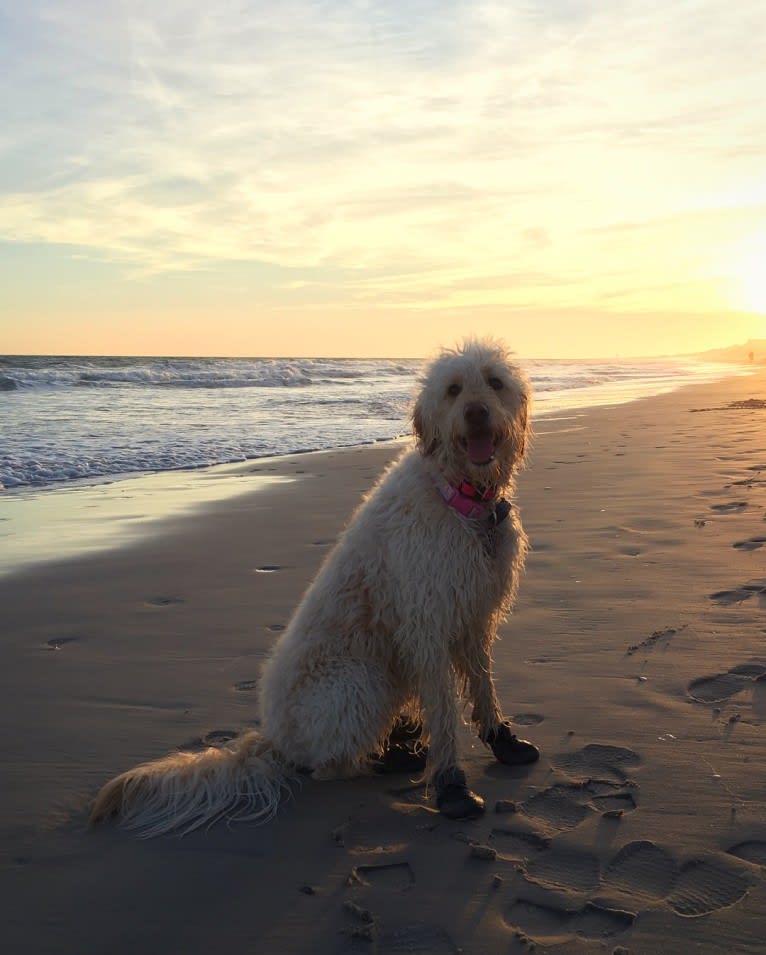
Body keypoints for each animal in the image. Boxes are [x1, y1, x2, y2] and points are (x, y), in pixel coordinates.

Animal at [91, 338, 540, 836]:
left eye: (495, 382)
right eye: (454, 389)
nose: (477, 413)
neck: (459, 498)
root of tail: (274, 741)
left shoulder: (476, 616)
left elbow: (483, 686)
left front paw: (503, 741)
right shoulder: (426, 627)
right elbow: (443, 713)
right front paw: (451, 786)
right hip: (362, 679)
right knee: (328, 767)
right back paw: (386, 759)